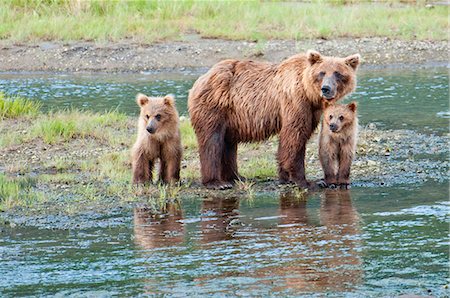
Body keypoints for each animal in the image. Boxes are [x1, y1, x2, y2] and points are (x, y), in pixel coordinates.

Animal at [188, 49, 360, 189]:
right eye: (322, 73)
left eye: (338, 73)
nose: (326, 89)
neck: (309, 93)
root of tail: (201, 78)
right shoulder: (294, 100)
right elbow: (295, 135)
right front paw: (305, 181)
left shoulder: (312, 110)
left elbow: (294, 138)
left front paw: (285, 177)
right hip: (214, 106)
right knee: (212, 140)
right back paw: (216, 183)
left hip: (231, 118)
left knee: (228, 144)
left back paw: (236, 177)